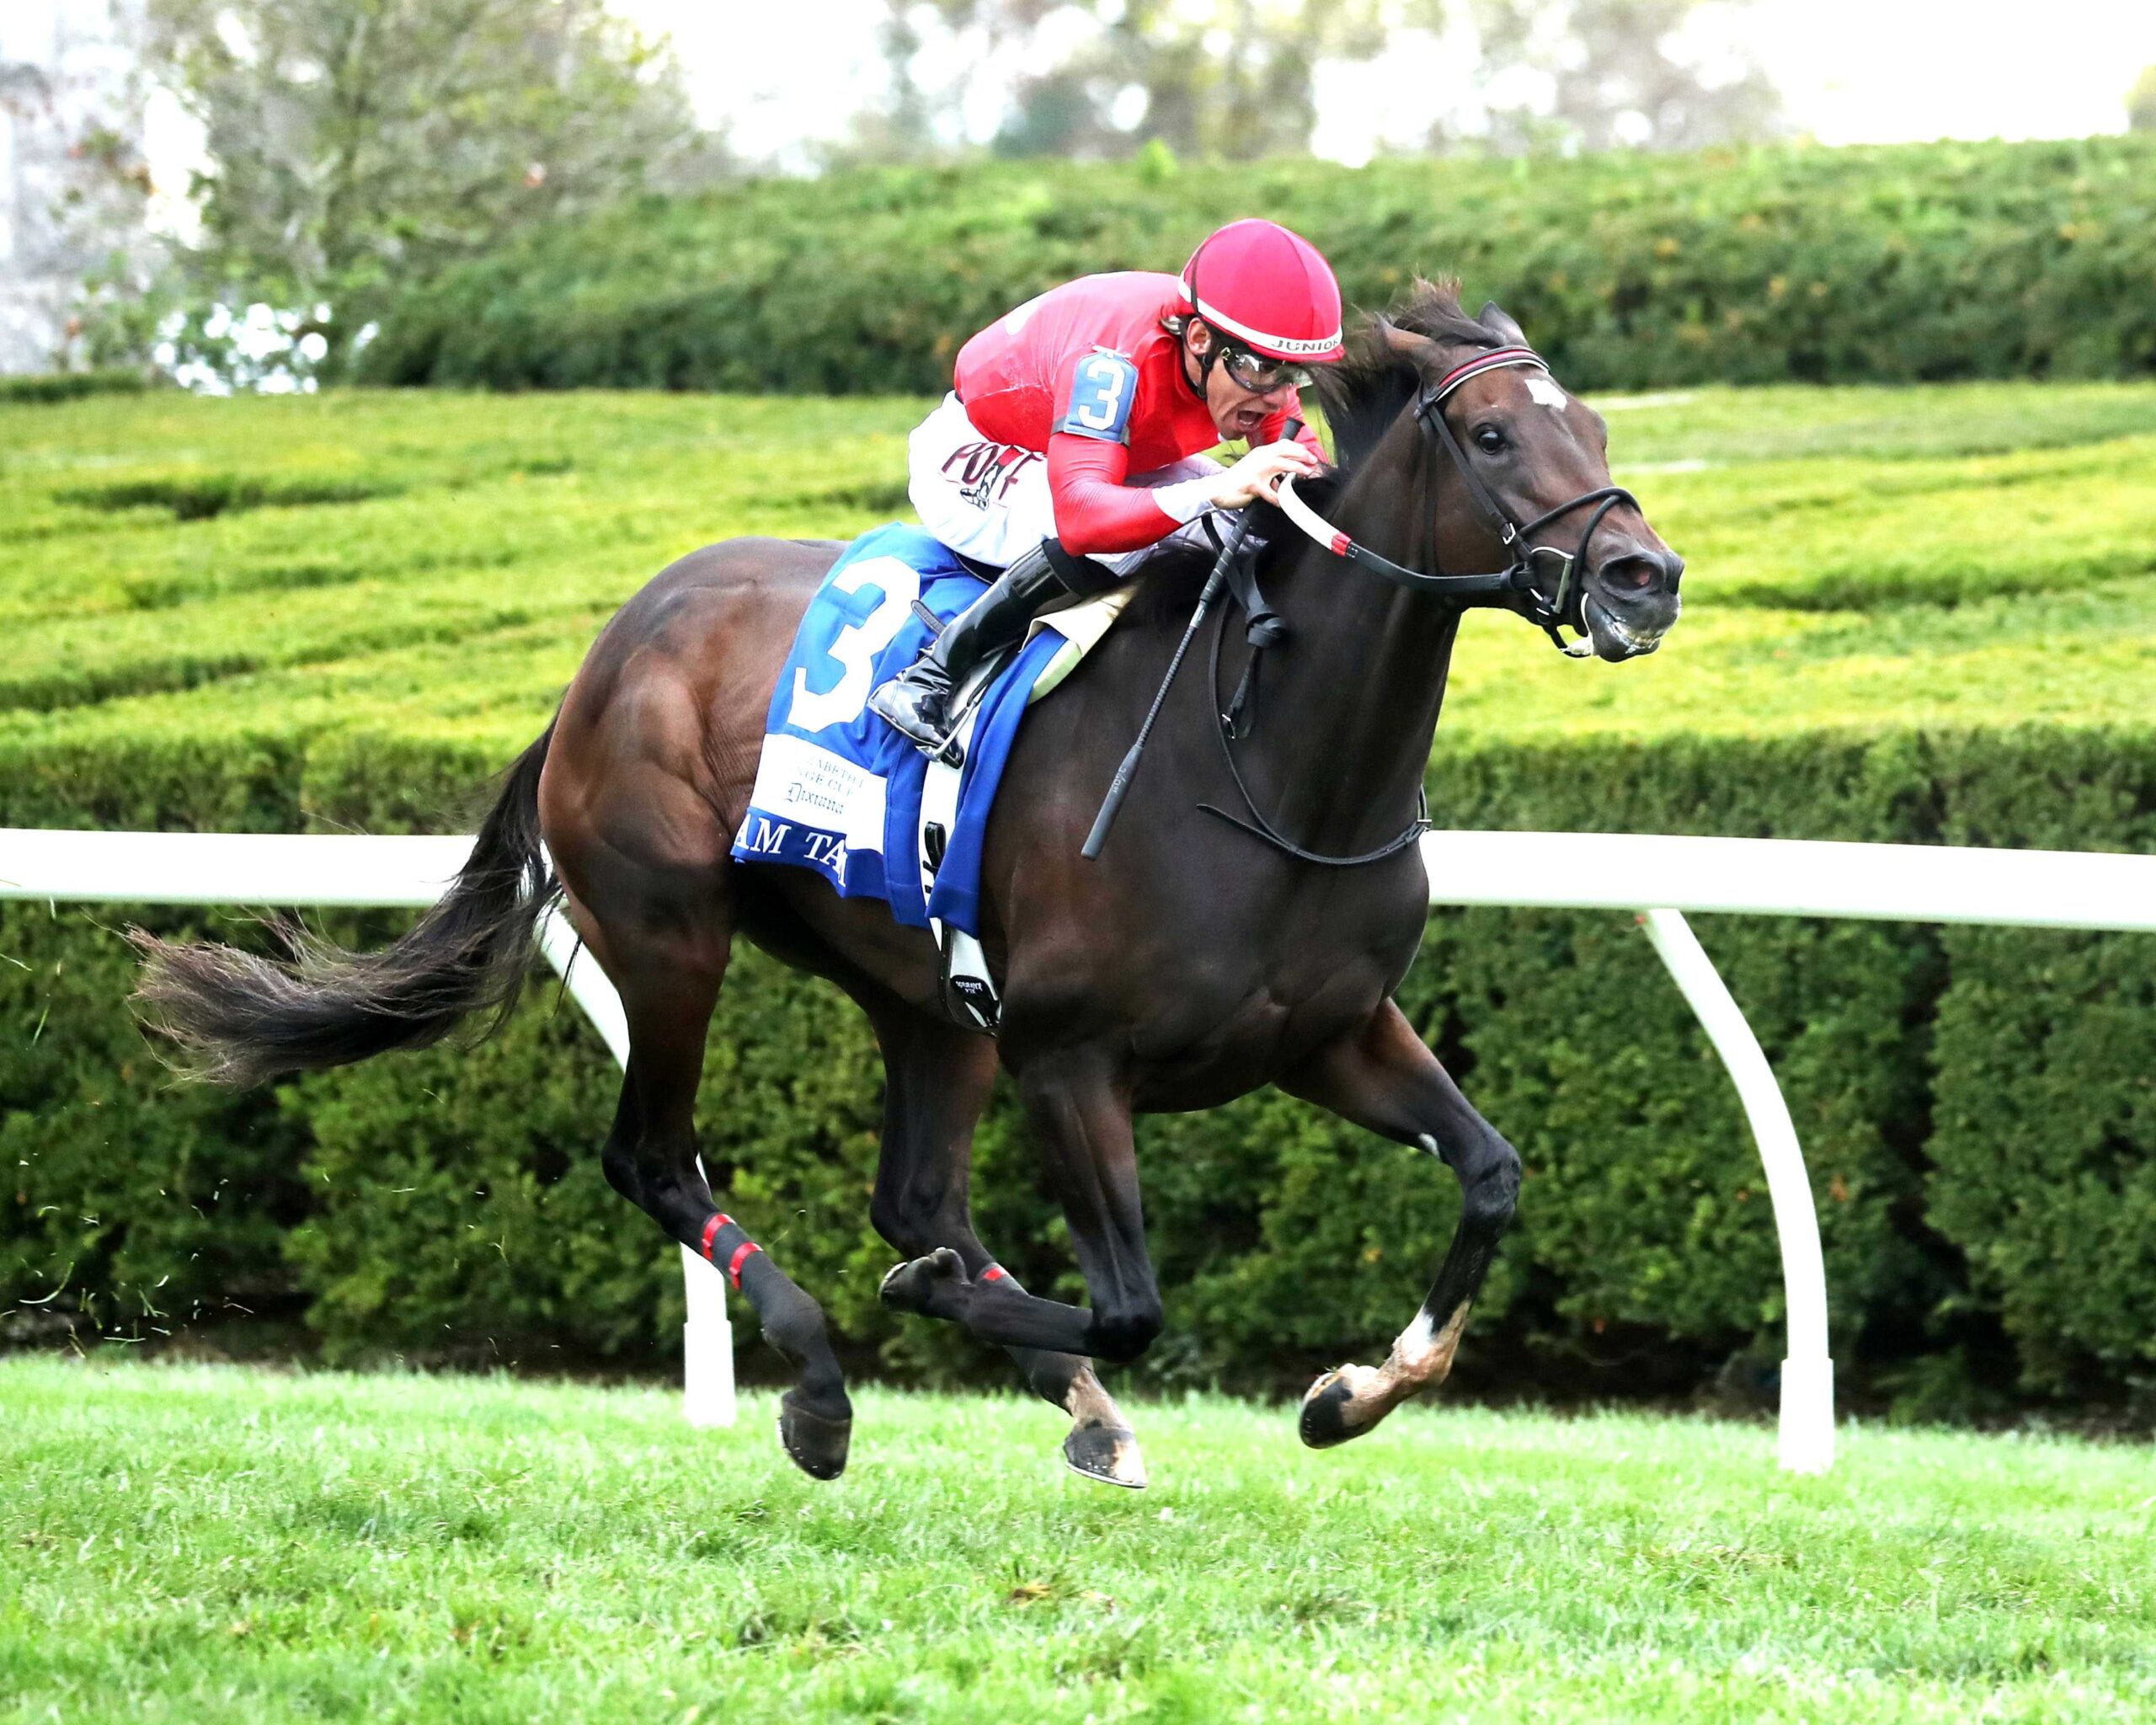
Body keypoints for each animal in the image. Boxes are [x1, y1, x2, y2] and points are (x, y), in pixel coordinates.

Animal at [134, 281, 1683, 1489]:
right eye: (1494, 434)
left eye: (1601, 431)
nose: (1644, 576)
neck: (1269, 762)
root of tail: (599, 659)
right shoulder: (1071, 1056)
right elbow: (1131, 1303)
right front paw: (951, 1319)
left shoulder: (1329, 1031)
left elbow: (1491, 1174)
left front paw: (1352, 1392)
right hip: (673, 932)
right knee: (659, 1158)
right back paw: (825, 1381)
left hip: (926, 997)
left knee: (915, 1193)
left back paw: (1059, 1396)